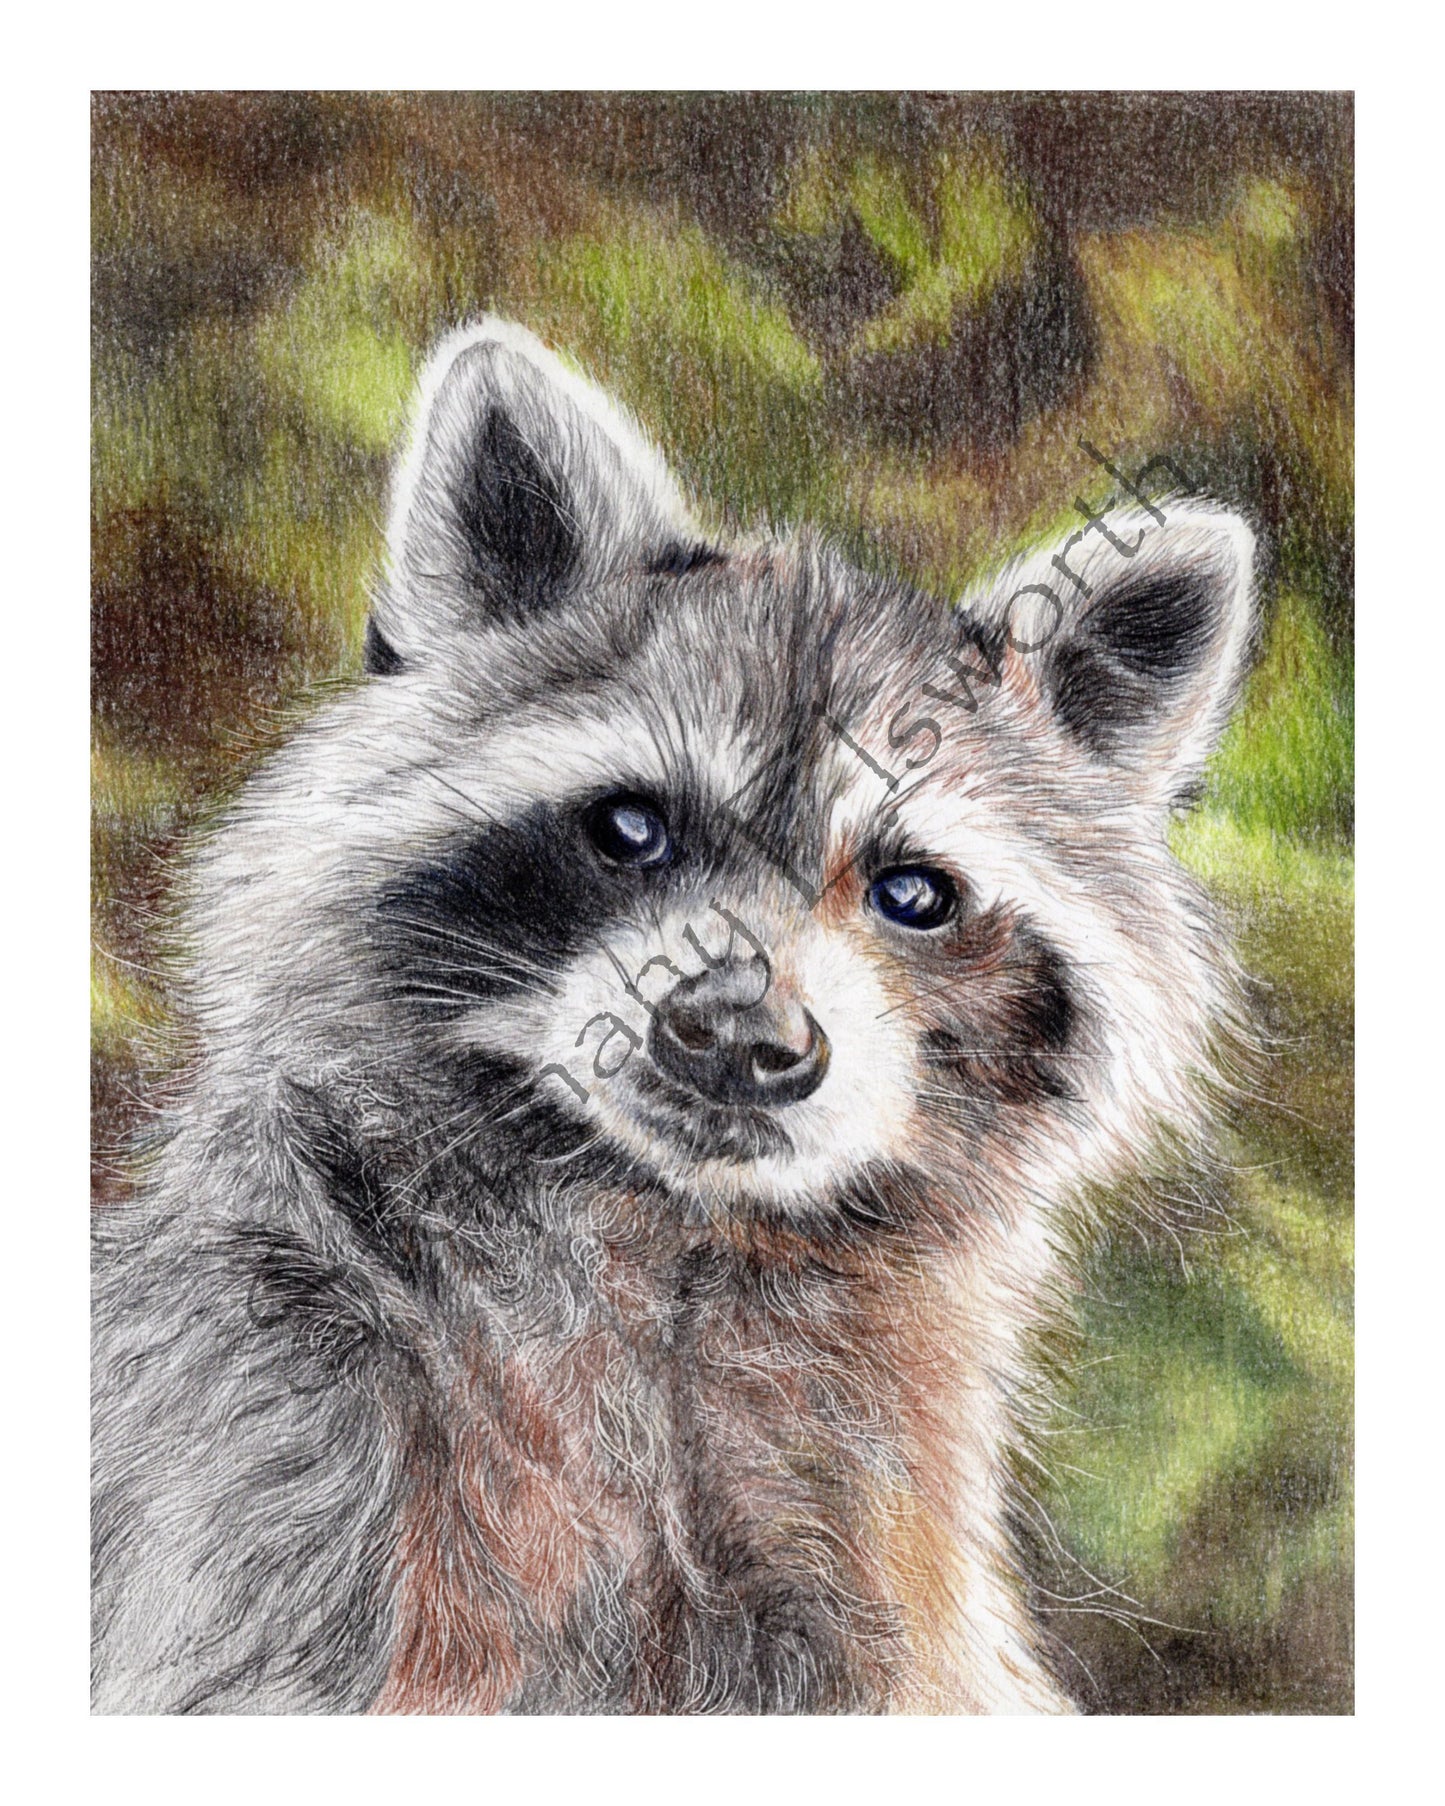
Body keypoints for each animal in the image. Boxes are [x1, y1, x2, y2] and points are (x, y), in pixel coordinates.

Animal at [92, 318, 1255, 1714]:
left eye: (911, 893)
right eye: (630, 828)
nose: (742, 1040)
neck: (670, 1230)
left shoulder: (864, 1557)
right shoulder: (275, 1457)